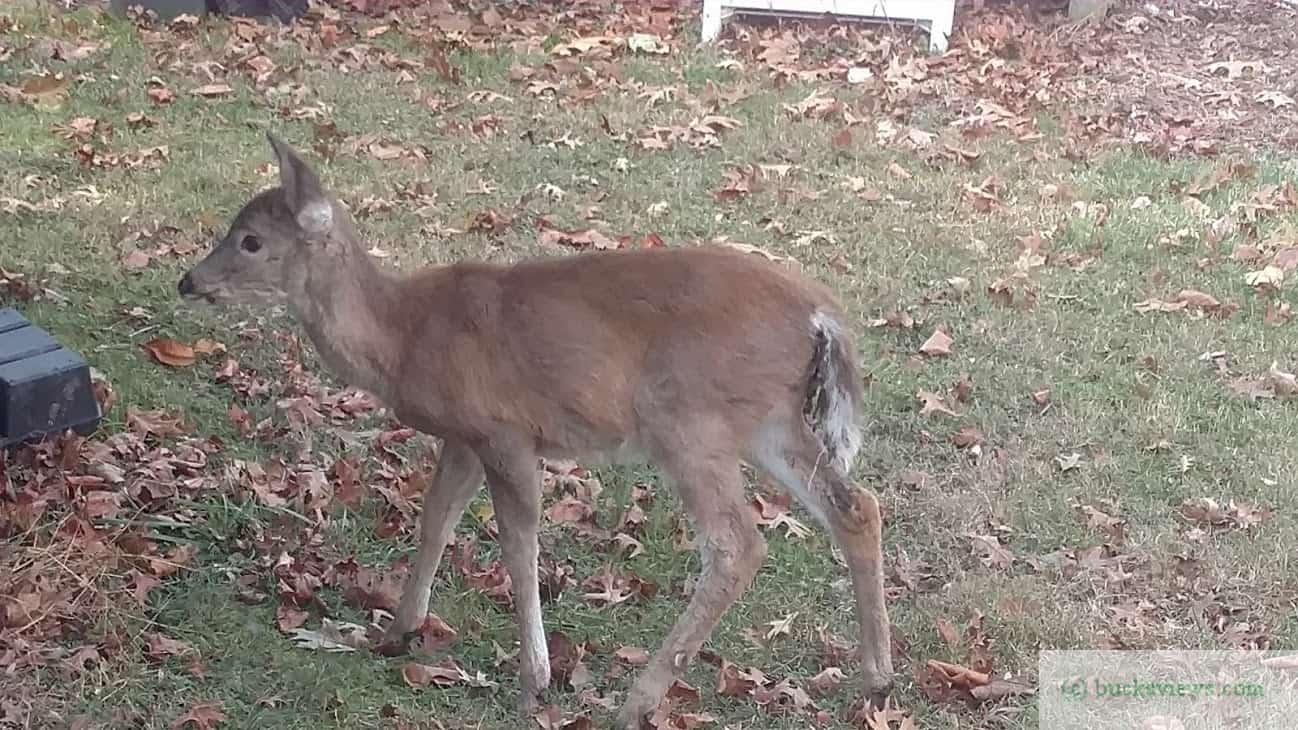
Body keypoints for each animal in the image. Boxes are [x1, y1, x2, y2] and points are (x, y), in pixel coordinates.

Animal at [180, 135, 893, 722]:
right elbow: (436, 519)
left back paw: (637, 702)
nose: (188, 280)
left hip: (689, 418)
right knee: (856, 505)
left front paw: (535, 680)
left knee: (737, 544)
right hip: (769, 421)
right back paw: (877, 680)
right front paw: (398, 631)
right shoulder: (463, 436)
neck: (403, 336)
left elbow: (520, 548)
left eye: (250, 240)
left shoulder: (506, 432)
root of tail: (822, 317)